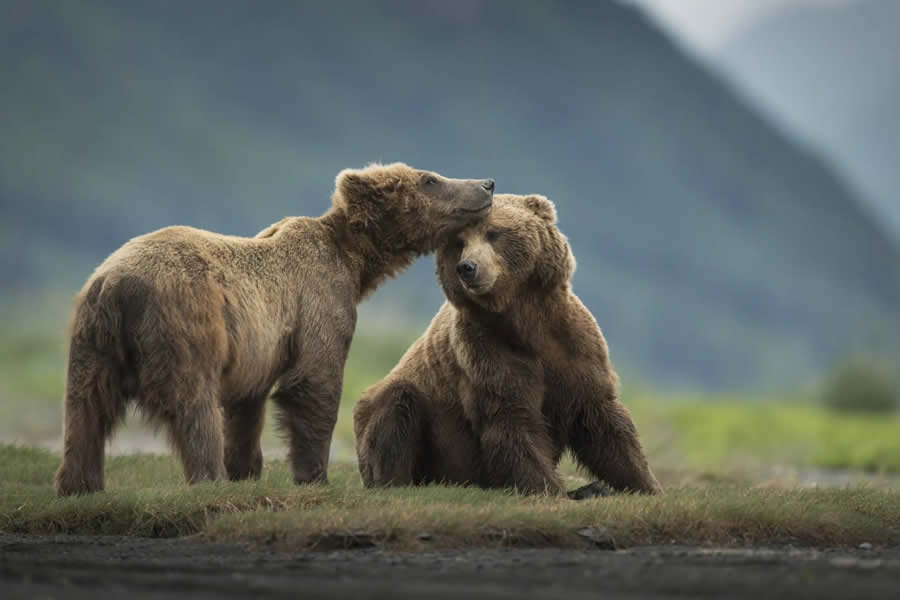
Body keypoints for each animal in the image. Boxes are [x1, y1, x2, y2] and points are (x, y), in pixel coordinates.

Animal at [54, 163, 500, 496]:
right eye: (430, 179)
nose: (486, 183)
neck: (356, 263)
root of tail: (116, 284)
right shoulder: (320, 299)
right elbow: (315, 382)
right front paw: (313, 476)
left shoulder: (256, 349)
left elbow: (246, 407)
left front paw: (246, 469)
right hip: (183, 322)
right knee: (194, 403)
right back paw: (208, 478)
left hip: (92, 338)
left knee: (85, 407)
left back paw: (79, 484)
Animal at [354, 195, 660, 494]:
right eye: (460, 242)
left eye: (493, 233)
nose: (467, 267)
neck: (524, 319)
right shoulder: (487, 351)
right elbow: (513, 418)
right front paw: (550, 489)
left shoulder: (572, 343)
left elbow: (599, 416)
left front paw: (645, 484)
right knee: (396, 405)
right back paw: (396, 481)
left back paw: (593, 488)